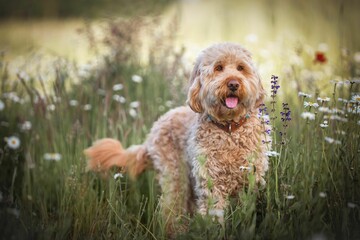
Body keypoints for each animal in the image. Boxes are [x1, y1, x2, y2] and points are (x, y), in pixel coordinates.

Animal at [84, 42, 270, 233]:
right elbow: (213, 215)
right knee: (170, 211)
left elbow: (246, 214)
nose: (233, 83)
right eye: (218, 68)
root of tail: (153, 131)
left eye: (241, 68)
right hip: (175, 177)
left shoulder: (250, 182)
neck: (230, 129)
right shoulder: (211, 185)